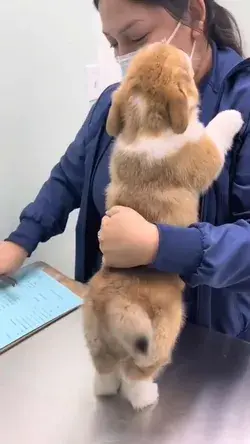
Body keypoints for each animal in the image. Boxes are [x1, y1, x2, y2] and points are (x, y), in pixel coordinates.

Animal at [83, 41, 243, 410]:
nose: (167, 42)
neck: (145, 120)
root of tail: (113, 304)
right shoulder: (206, 153)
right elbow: (215, 131)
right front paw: (233, 116)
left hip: (96, 342)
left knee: (105, 373)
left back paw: (106, 388)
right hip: (164, 331)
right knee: (136, 375)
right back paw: (146, 398)